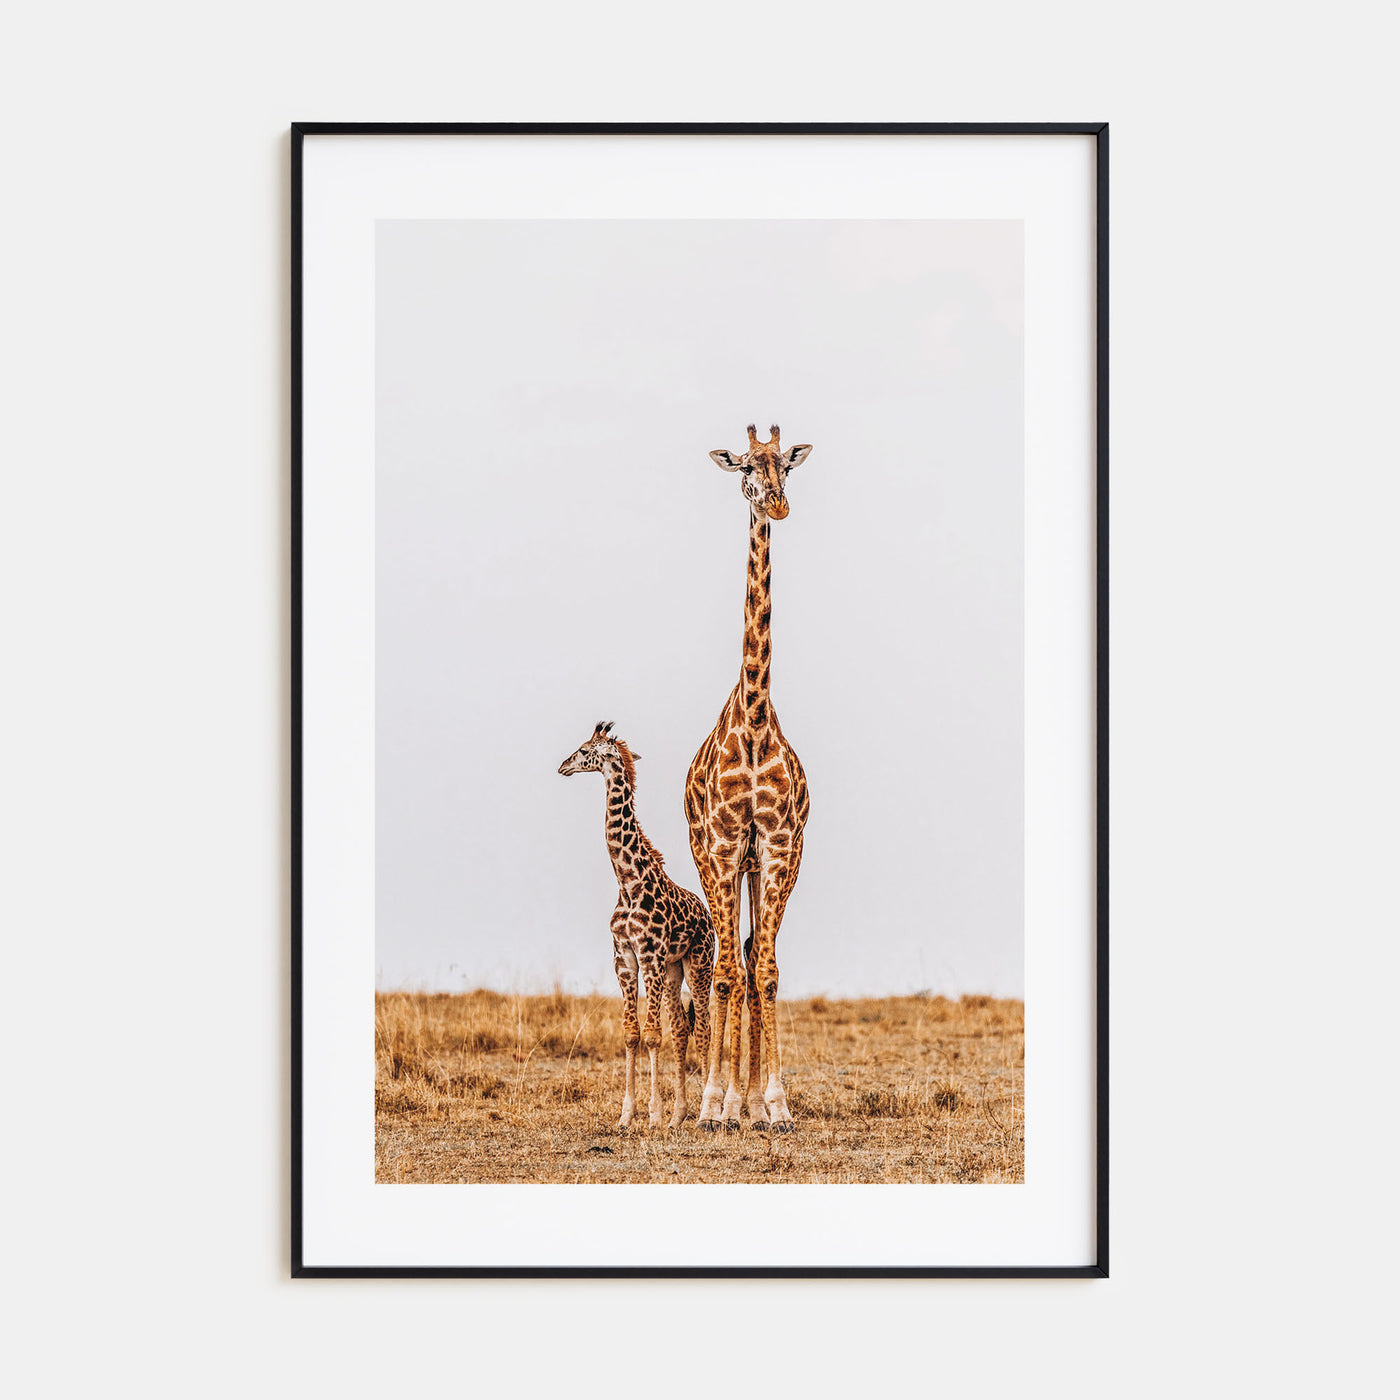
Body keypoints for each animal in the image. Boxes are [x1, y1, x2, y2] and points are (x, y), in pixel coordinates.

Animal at [559, 722, 715, 1129]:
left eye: (585, 750)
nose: (563, 766)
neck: (628, 882)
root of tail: (707, 915)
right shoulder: (624, 957)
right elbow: (632, 1033)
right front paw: (627, 1115)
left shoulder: (650, 955)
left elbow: (652, 1034)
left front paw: (654, 1115)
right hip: (675, 969)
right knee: (682, 1029)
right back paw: (679, 1116)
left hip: (698, 962)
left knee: (704, 1027)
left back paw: (706, 1111)